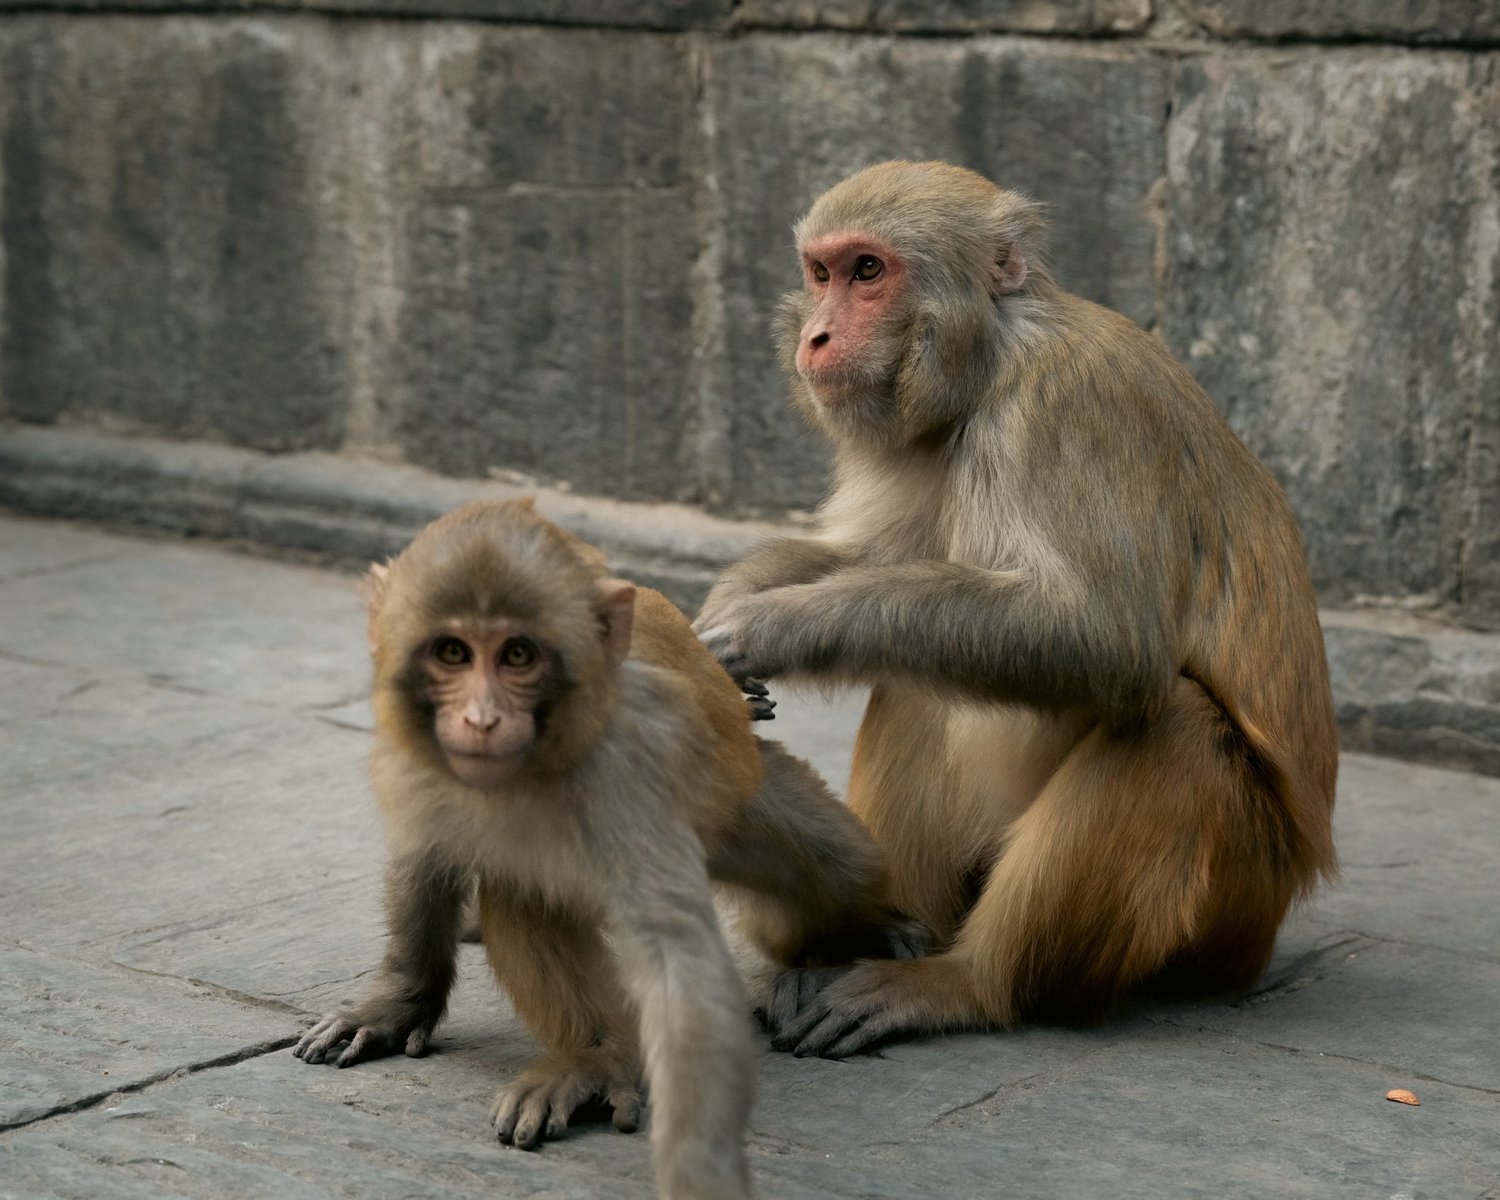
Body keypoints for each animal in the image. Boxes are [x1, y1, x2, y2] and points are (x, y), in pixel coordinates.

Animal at [292, 498, 917, 1199]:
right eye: (452, 652)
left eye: (518, 655)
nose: (481, 719)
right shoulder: (416, 748)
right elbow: (427, 850)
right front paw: (399, 1000)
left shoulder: (627, 765)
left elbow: (678, 956)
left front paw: (699, 1164)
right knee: (522, 888)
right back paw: (589, 1053)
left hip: (742, 804)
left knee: (839, 864)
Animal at [694, 160, 1339, 1058]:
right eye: (820, 273)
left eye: (869, 272)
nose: (815, 336)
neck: (987, 366)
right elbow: (880, 560)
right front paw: (733, 600)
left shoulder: (1063, 408)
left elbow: (1101, 640)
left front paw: (773, 627)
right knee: (916, 672)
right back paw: (863, 938)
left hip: (1234, 905)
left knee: (1173, 726)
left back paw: (965, 982)